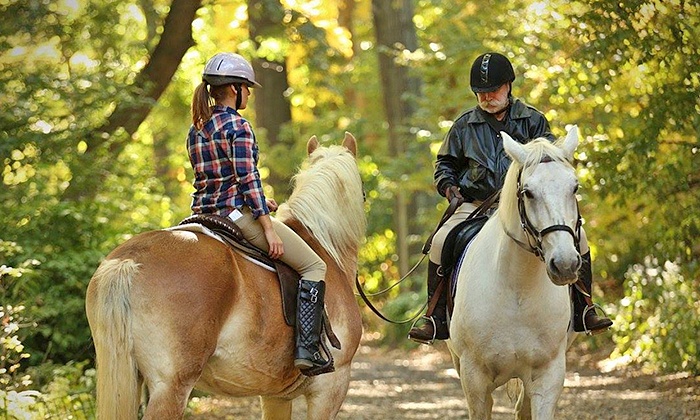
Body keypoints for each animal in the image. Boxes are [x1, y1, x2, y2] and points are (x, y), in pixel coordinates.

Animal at [448, 126, 584, 418]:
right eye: (529, 193)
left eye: (575, 187)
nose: (565, 264)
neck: (518, 289)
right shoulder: (474, 380)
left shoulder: (548, 375)